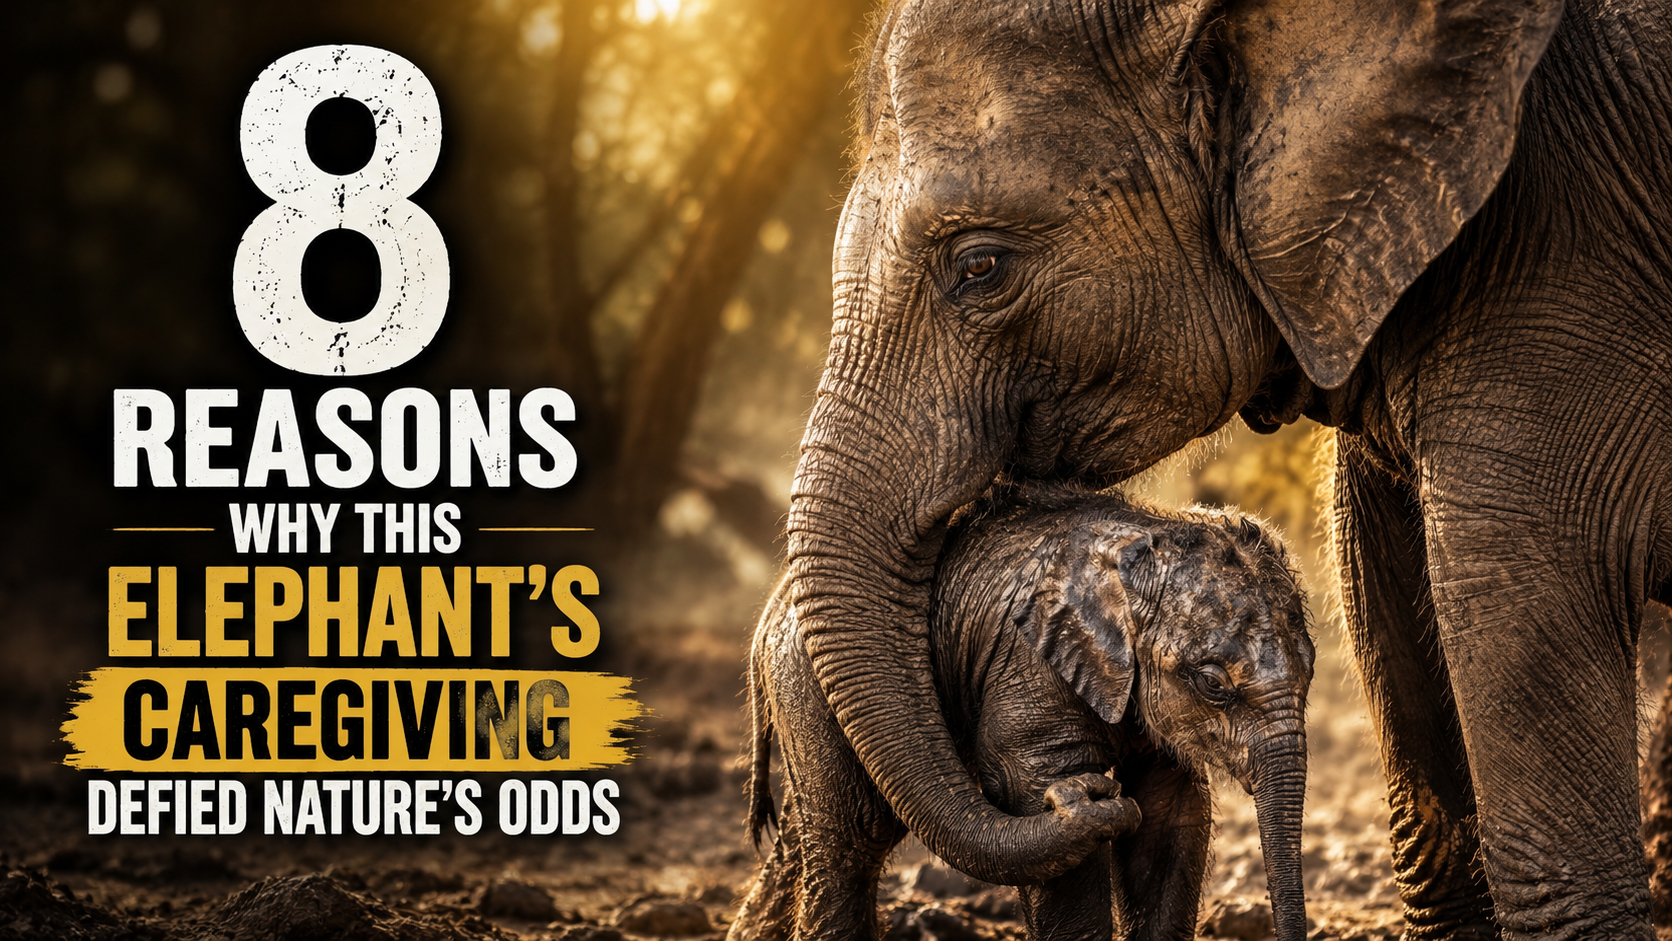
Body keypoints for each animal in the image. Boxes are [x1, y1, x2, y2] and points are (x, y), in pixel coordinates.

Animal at [731, 485, 1313, 940]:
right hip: (811, 684)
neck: (1147, 537)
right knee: (852, 835)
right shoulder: (1026, 661)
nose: (1093, 794)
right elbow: (1034, 789)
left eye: (1310, 672)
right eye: (1213, 684)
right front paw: (1075, 792)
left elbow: (1170, 814)